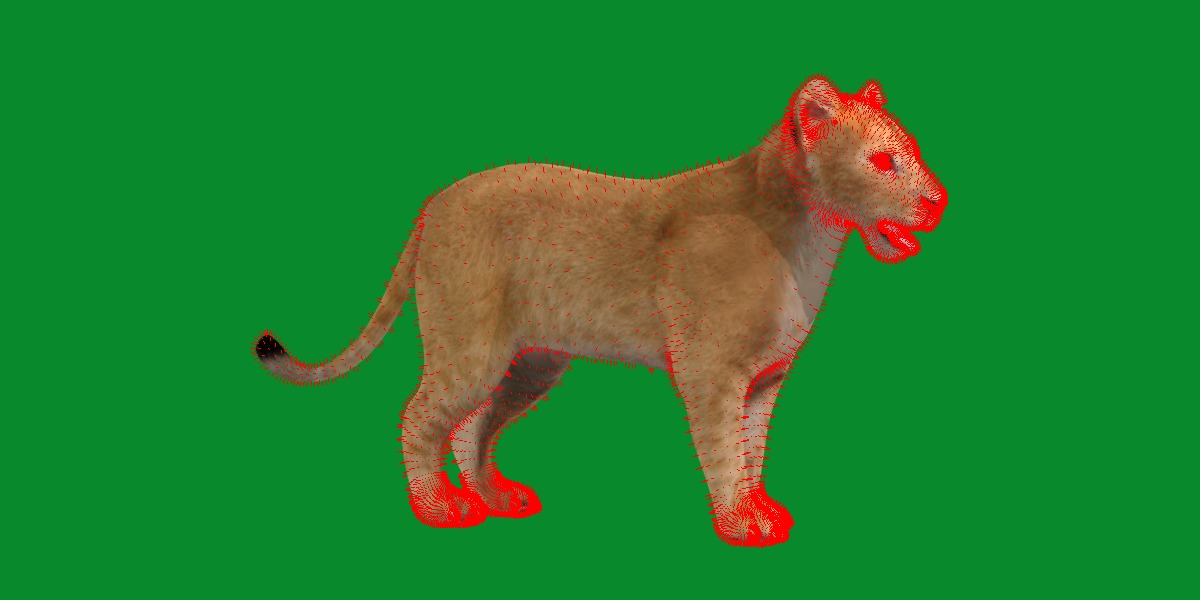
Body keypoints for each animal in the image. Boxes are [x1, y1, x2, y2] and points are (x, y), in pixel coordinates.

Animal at [254, 75, 947, 546]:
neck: (811, 242)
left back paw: (496, 497)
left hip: (531, 362)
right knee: (420, 417)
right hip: (472, 347)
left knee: (474, 425)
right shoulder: (712, 373)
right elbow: (725, 450)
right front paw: (739, 524)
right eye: (883, 161)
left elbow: (754, 448)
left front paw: (762, 512)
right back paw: (439, 509)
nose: (939, 199)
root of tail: (435, 201)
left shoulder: (764, 379)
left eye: (913, 150)